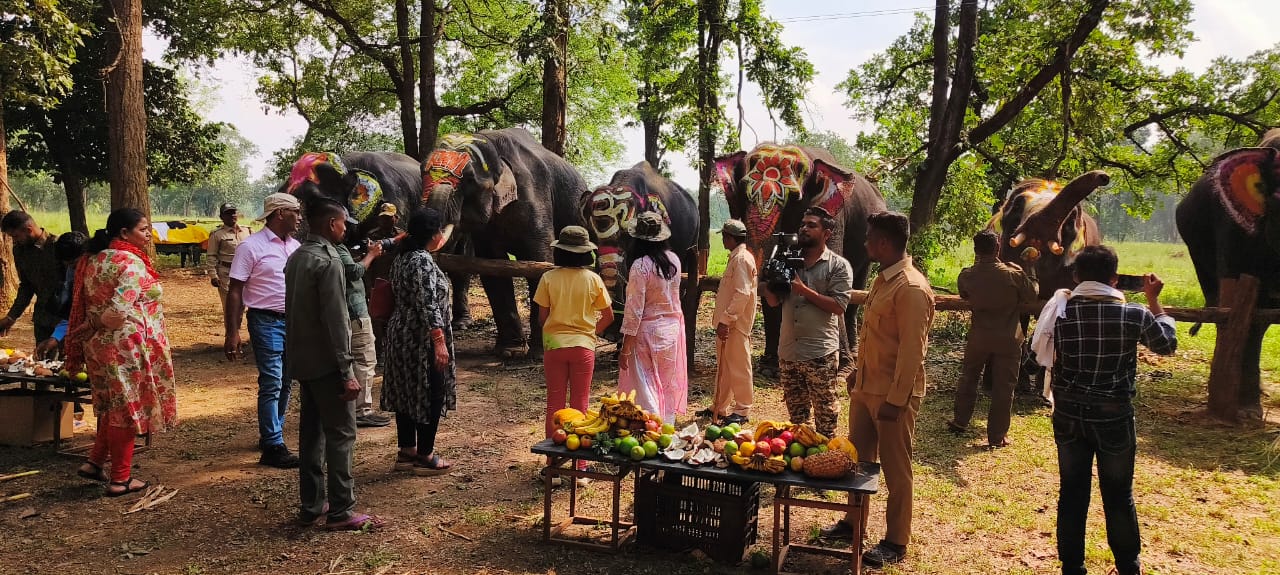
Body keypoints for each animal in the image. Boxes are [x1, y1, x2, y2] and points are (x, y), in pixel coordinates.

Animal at [422, 128, 586, 356]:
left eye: (470, 180)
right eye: (422, 173)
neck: (492, 144)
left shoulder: (535, 197)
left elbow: (541, 262)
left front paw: (539, 353)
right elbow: (492, 269)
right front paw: (509, 351)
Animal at [716, 143, 885, 376]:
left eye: (795, 199)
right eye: (742, 191)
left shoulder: (833, 216)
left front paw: (841, 370)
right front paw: (769, 368)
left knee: (856, 288)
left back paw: (852, 357)